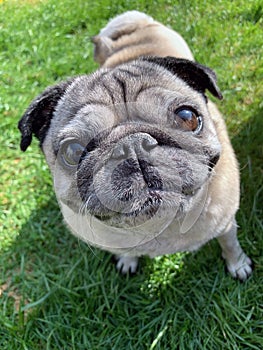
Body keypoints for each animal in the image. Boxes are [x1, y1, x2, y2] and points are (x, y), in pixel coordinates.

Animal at [17, 10, 253, 282]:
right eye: (73, 151)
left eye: (188, 117)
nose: (132, 145)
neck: (160, 225)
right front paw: (128, 261)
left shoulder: (226, 224)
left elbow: (229, 244)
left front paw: (238, 265)